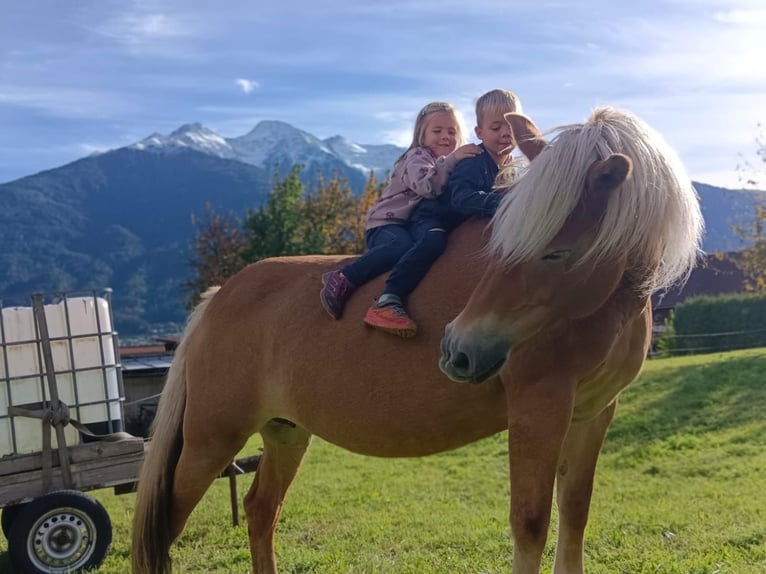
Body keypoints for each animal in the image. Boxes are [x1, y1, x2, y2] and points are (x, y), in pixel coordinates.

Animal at [130, 106, 704, 572]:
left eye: (556, 253)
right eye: (500, 243)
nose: (459, 349)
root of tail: (218, 298)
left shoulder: (593, 413)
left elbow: (575, 516)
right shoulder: (538, 409)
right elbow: (530, 523)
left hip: (286, 432)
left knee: (260, 511)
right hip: (210, 439)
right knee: (167, 527)